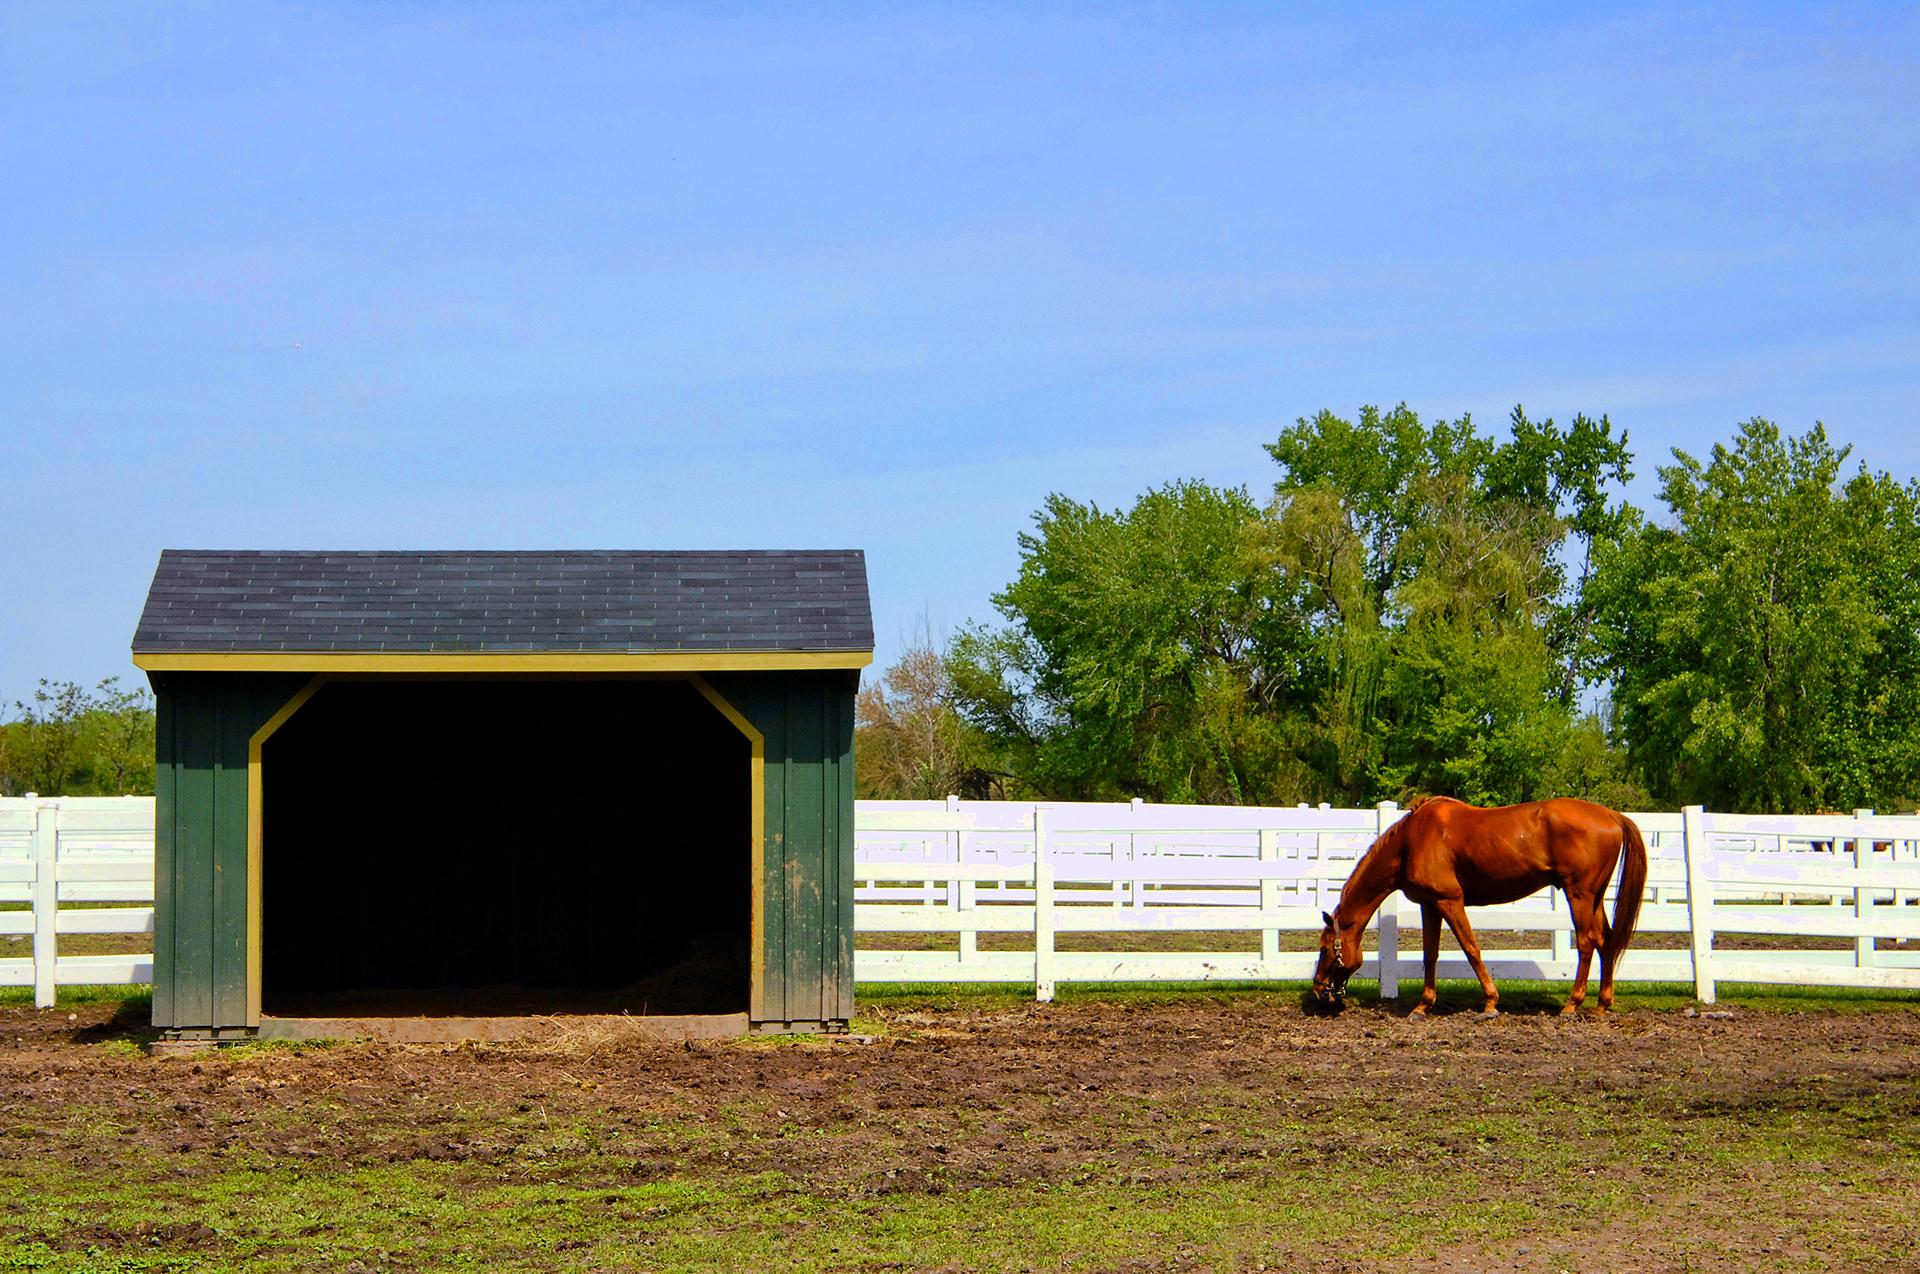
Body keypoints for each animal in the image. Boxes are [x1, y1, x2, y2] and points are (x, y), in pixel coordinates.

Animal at [1313, 798, 1643, 1013]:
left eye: (1325, 948)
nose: (1318, 988)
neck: (1411, 841)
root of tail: (1613, 816)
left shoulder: (1449, 901)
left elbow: (1471, 948)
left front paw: (1491, 1002)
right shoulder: (1430, 906)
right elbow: (1430, 955)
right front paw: (1423, 1005)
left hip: (1580, 896)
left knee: (1587, 943)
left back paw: (1572, 1004)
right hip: (1595, 898)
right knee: (1605, 941)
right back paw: (1602, 1004)